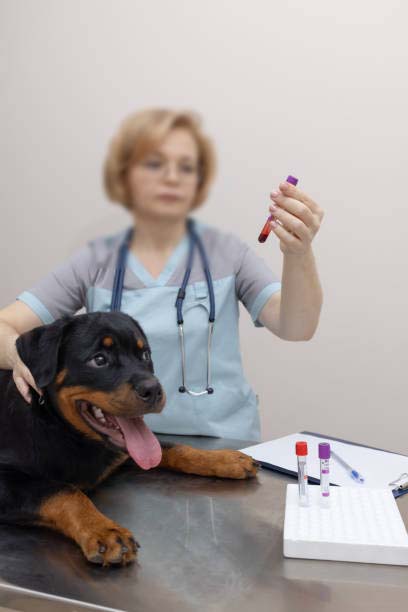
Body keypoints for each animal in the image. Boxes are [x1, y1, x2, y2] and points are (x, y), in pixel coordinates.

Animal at [0, 314, 260, 568]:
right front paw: (104, 531)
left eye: (145, 355)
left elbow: (172, 447)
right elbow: (63, 491)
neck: (69, 433)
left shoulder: (124, 452)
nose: (154, 389)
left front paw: (225, 459)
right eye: (99, 359)